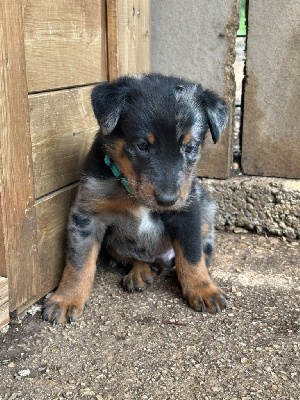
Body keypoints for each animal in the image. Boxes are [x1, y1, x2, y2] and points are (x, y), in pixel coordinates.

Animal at [43, 73, 229, 324]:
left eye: (190, 147)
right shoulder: (87, 215)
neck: (132, 192)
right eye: (141, 145)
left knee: (199, 252)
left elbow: (191, 256)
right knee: (138, 257)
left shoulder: (187, 210)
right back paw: (141, 272)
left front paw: (203, 289)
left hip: (206, 207)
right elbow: (78, 262)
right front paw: (66, 299)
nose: (168, 200)